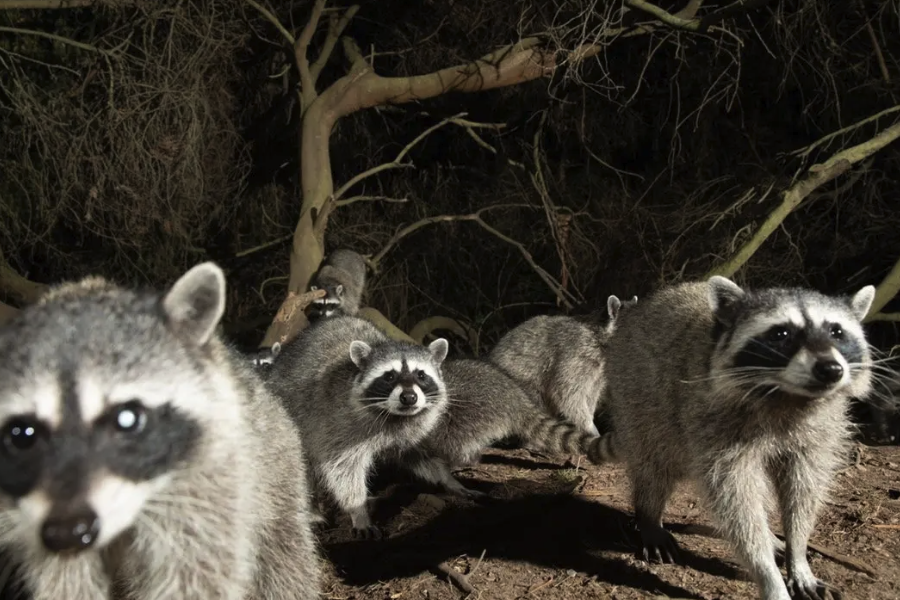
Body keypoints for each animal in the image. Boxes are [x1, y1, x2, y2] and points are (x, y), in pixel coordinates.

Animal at [0, 262, 320, 600]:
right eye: (22, 434)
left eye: (127, 418)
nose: (67, 533)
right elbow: (62, 579)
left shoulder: (214, 480)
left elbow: (198, 572)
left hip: (275, 468)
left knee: (285, 557)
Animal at [268, 316, 450, 540]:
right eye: (389, 376)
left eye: (421, 375)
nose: (409, 397)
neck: (395, 417)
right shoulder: (337, 425)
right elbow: (343, 468)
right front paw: (358, 511)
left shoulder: (411, 430)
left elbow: (417, 453)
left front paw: (448, 480)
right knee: (301, 467)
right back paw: (311, 511)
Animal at [488, 292, 636, 436]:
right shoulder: (576, 354)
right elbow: (566, 395)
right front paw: (590, 427)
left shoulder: (598, 372)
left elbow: (589, 396)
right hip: (518, 383)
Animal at [600, 276, 876, 600]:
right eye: (780, 333)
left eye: (837, 331)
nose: (830, 369)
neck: (789, 397)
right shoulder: (716, 426)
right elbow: (738, 504)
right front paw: (768, 574)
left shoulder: (818, 431)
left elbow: (804, 491)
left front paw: (798, 553)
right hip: (637, 394)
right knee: (653, 463)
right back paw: (649, 515)